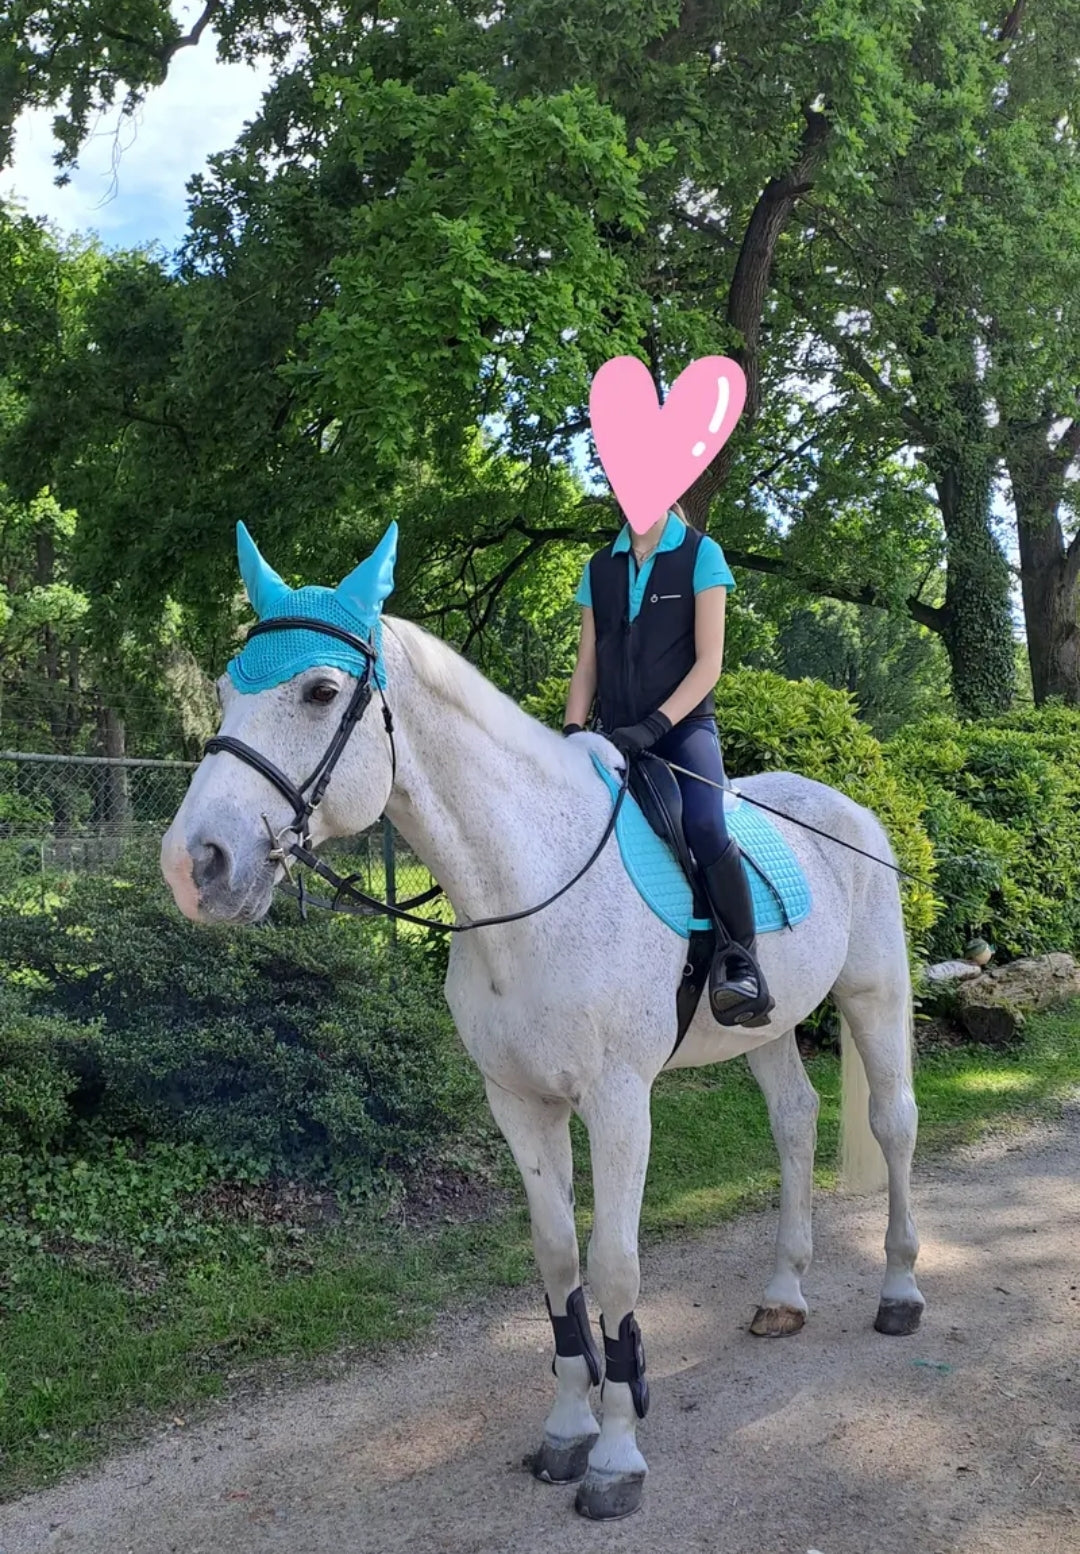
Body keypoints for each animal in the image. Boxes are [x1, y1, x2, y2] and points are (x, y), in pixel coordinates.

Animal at [161, 524, 923, 1522]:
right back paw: (784, 1295)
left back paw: (901, 1291)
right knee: (795, 1121)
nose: (194, 865)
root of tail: (851, 811)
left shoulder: (620, 1102)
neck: (530, 882)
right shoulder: (520, 1104)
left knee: (893, 1125)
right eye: (224, 687)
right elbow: (558, 1259)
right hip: (764, 1030)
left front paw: (618, 1457)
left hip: (876, 996)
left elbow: (616, 1265)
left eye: (320, 691)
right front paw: (569, 1429)